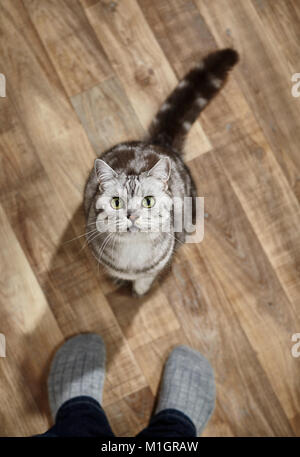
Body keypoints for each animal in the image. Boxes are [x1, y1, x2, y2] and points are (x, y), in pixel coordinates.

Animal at [83, 48, 238, 294]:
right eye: (116, 202)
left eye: (148, 201)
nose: (132, 215)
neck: (132, 258)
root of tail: (159, 142)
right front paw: (119, 279)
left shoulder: (160, 259)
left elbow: (148, 276)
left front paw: (140, 288)